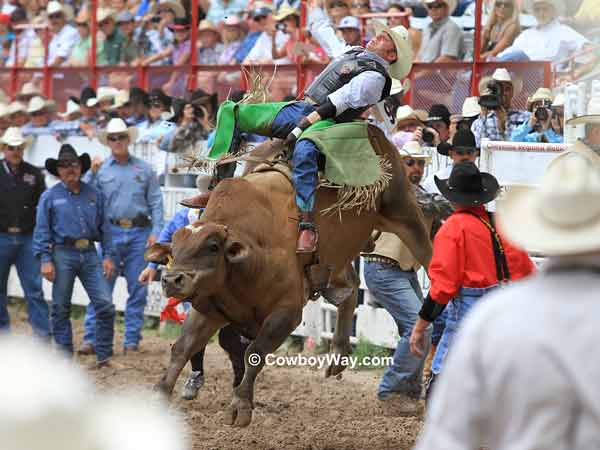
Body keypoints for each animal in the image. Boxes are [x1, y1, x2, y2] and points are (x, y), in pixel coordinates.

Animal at [145, 125, 432, 426]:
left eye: (212, 246)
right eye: (174, 249)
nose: (171, 280)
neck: (248, 256)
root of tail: (375, 132)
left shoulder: (287, 313)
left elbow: (254, 353)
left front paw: (240, 406)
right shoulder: (210, 309)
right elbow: (182, 347)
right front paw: (159, 398)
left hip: (402, 208)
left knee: (425, 248)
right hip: (337, 252)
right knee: (351, 287)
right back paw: (338, 353)